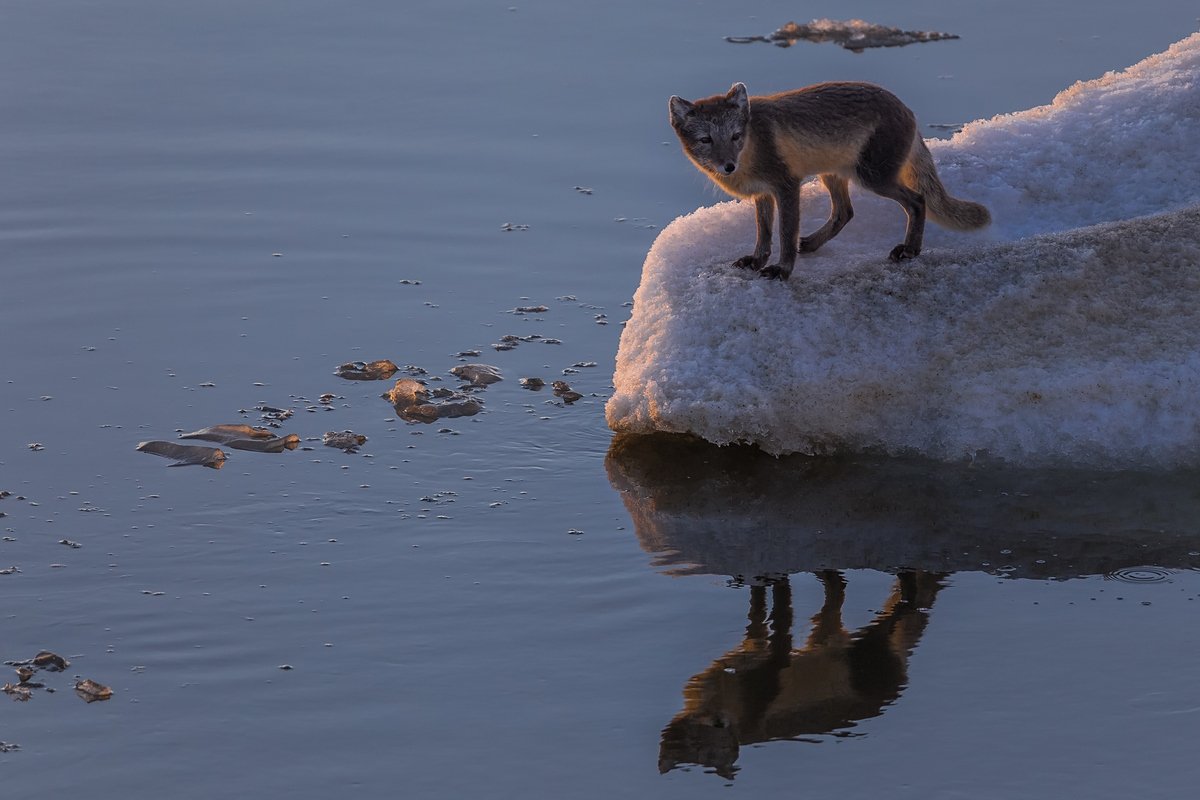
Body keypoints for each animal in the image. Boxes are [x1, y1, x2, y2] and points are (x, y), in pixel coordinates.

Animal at [672, 83, 988, 278]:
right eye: (706, 140)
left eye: (736, 136)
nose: (728, 166)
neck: (753, 146)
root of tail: (908, 110)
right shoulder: (762, 194)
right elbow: (764, 234)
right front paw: (757, 261)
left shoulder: (787, 186)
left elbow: (785, 234)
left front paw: (782, 270)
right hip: (833, 175)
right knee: (844, 213)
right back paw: (812, 244)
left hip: (872, 177)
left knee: (917, 201)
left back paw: (910, 250)